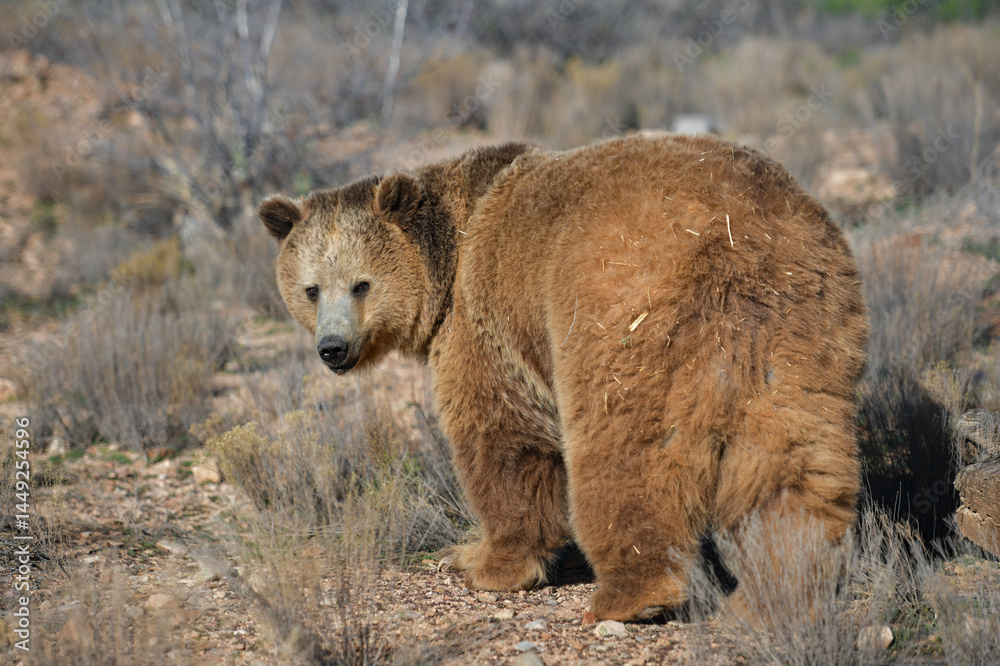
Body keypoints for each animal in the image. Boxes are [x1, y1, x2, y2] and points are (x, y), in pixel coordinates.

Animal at [258, 134, 869, 621]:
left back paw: (634, 596)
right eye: (310, 288)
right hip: (800, 322)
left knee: (622, 452)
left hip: (623, 308)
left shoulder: (484, 319)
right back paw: (780, 587)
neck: (447, 259)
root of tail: (735, 235)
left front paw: (482, 560)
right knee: (792, 459)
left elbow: (503, 437)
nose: (332, 349)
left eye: (361, 284)